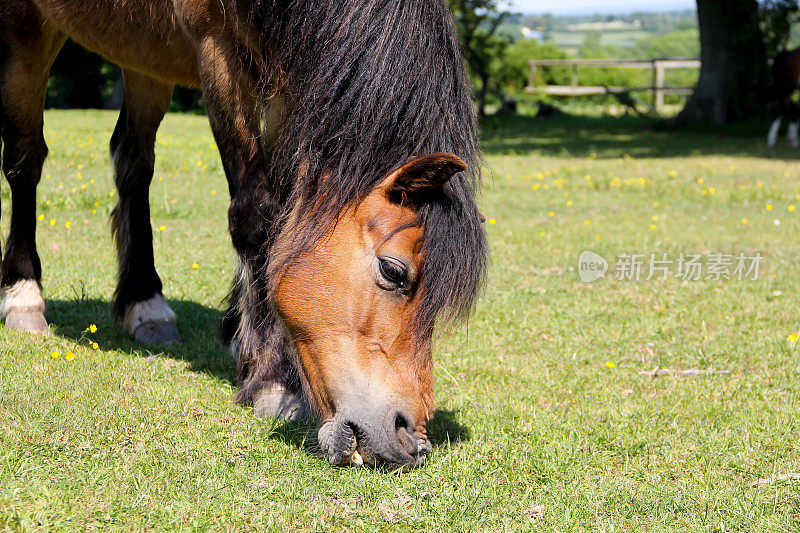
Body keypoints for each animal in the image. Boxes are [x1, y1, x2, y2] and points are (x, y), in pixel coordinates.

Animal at [0, 0, 488, 468]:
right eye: (393, 271)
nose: (413, 442)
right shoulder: (219, 53)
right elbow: (257, 215)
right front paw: (273, 380)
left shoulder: (292, 81)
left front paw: (245, 342)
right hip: (26, 29)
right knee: (26, 160)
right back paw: (23, 297)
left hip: (143, 57)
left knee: (133, 162)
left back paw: (146, 305)